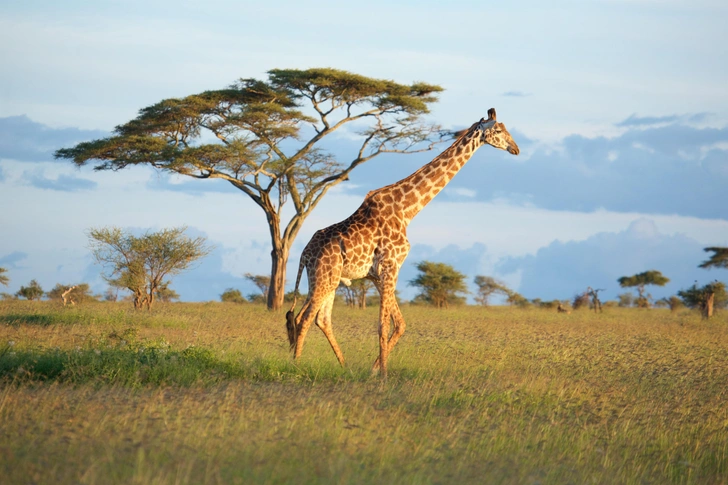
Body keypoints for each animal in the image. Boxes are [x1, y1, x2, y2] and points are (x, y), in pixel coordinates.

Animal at [284, 108, 516, 376]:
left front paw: (374, 369)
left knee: (320, 318)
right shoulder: (390, 266)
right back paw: (296, 366)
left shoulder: (377, 274)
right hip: (323, 277)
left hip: (329, 279)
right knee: (303, 318)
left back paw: (344, 366)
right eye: (498, 130)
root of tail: (304, 254)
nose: (516, 148)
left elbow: (399, 324)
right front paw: (383, 374)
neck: (407, 210)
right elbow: (384, 325)